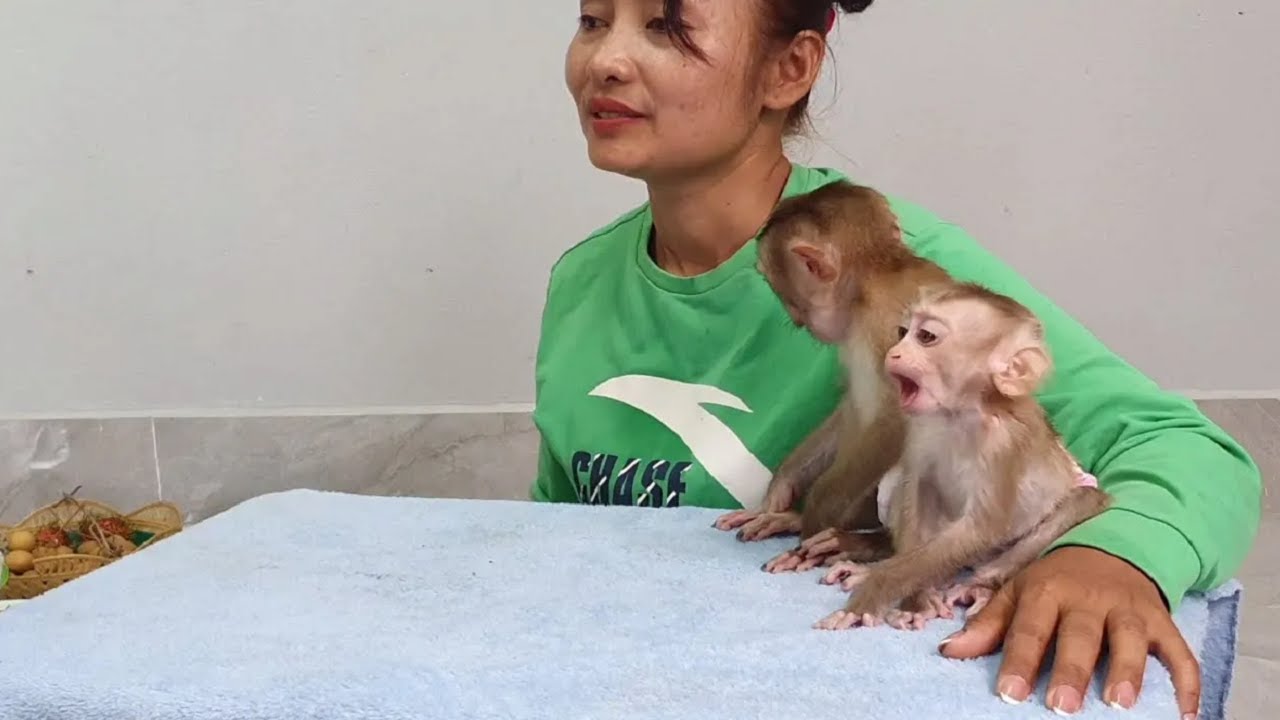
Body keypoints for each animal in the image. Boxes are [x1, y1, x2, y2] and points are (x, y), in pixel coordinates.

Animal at [712, 179, 954, 573]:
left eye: (783, 291)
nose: (796, 319)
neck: (876, 279)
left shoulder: (884, 323)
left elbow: (895, 419)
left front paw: (809, 526)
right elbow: (852, 407)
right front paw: (782, 490)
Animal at [811, 281, 1111, 631]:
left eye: (926, 336)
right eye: (902, 332)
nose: (893, 353)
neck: (960, 414)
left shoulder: (1004, 445)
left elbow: (982, 527)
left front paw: (876, 591)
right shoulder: (921, 426)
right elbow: (919, 490)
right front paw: (915, 598)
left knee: (1081, 500)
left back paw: (980, 585)